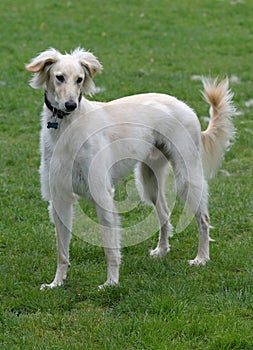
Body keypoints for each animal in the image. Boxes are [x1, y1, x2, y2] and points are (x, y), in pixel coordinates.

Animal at [26, 48, 235, 290]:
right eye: (59, 77)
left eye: (79, 79)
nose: (70, 105)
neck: (67, 126)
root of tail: (184, 106)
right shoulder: (59, 196)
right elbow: (62, 250)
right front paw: (57, 282)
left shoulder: (102, 194)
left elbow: (110, 247)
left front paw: (111, 282)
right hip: (148, 178)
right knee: (164, 213)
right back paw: (162, 251)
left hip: (187, 176)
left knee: (204, 219)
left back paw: (202, 258)